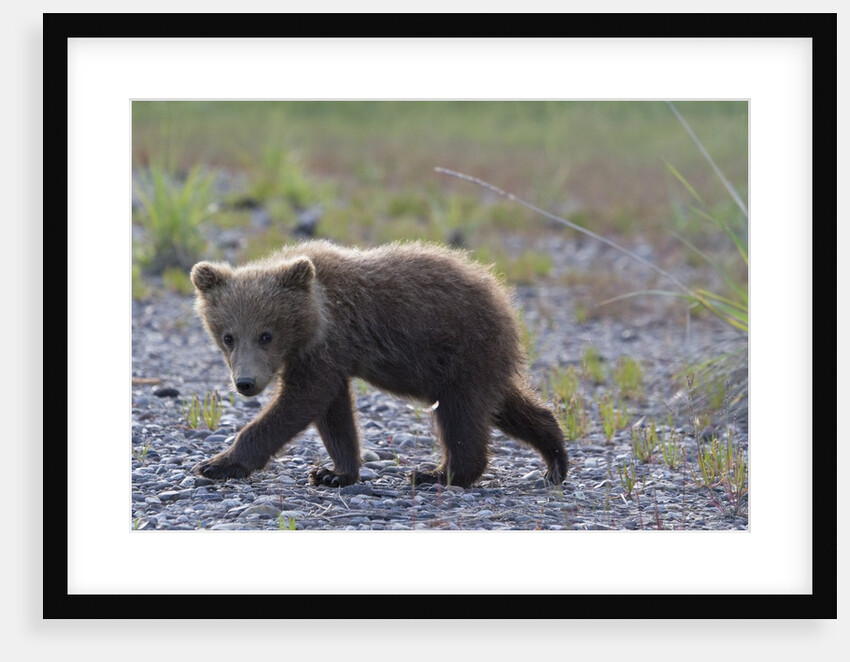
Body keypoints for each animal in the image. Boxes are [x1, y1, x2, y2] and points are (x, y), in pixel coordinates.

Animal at [189, 240, 568, 489]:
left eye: (266, 335)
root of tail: (503, 297)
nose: (245, 383)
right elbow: (334, 413)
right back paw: (555, 459)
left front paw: (217, 463)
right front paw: (334, 473)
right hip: (478, 363)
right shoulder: (328, 356)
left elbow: (301, 400)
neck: (317, 313)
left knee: (462, 416)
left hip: (463, 352)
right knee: (506, 406)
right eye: (228, 336)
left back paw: (435, 474)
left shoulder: (330, 344)